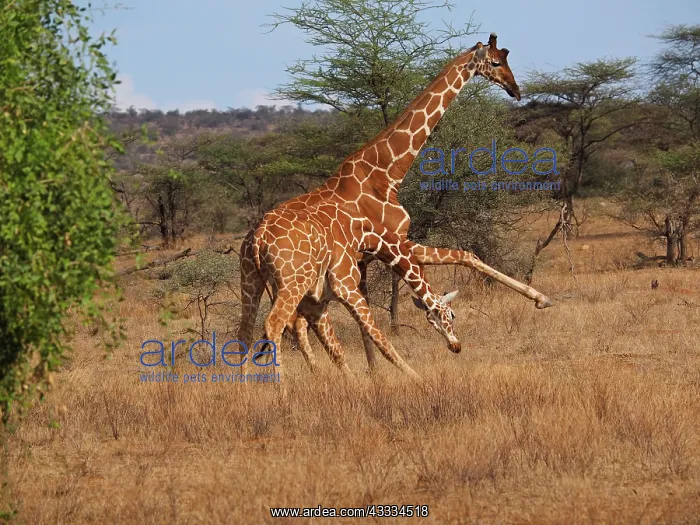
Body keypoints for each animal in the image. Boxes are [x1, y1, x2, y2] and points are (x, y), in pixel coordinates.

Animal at [237, 33, 554, 373]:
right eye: (495, 63)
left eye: (506, 59)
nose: (515, 90)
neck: (384, 174)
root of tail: (257, 238)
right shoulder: (390, 244)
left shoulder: (388, 246)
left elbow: (464, 255)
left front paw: (541, 298)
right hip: (292, 281)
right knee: (283, 323)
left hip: (253, 281)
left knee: (255, 331)